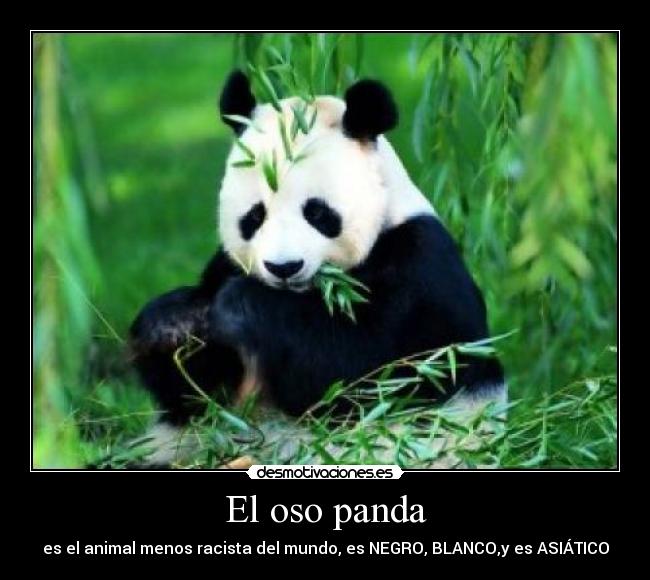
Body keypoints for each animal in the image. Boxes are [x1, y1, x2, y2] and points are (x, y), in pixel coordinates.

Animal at [128, 70, 506, 468]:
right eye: (254, 216)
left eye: (318, 213)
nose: (284, 267)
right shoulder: (225, 264)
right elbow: (197, 394)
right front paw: (174, 324)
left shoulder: (420, 270)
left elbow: (358, 370)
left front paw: (243, 305)